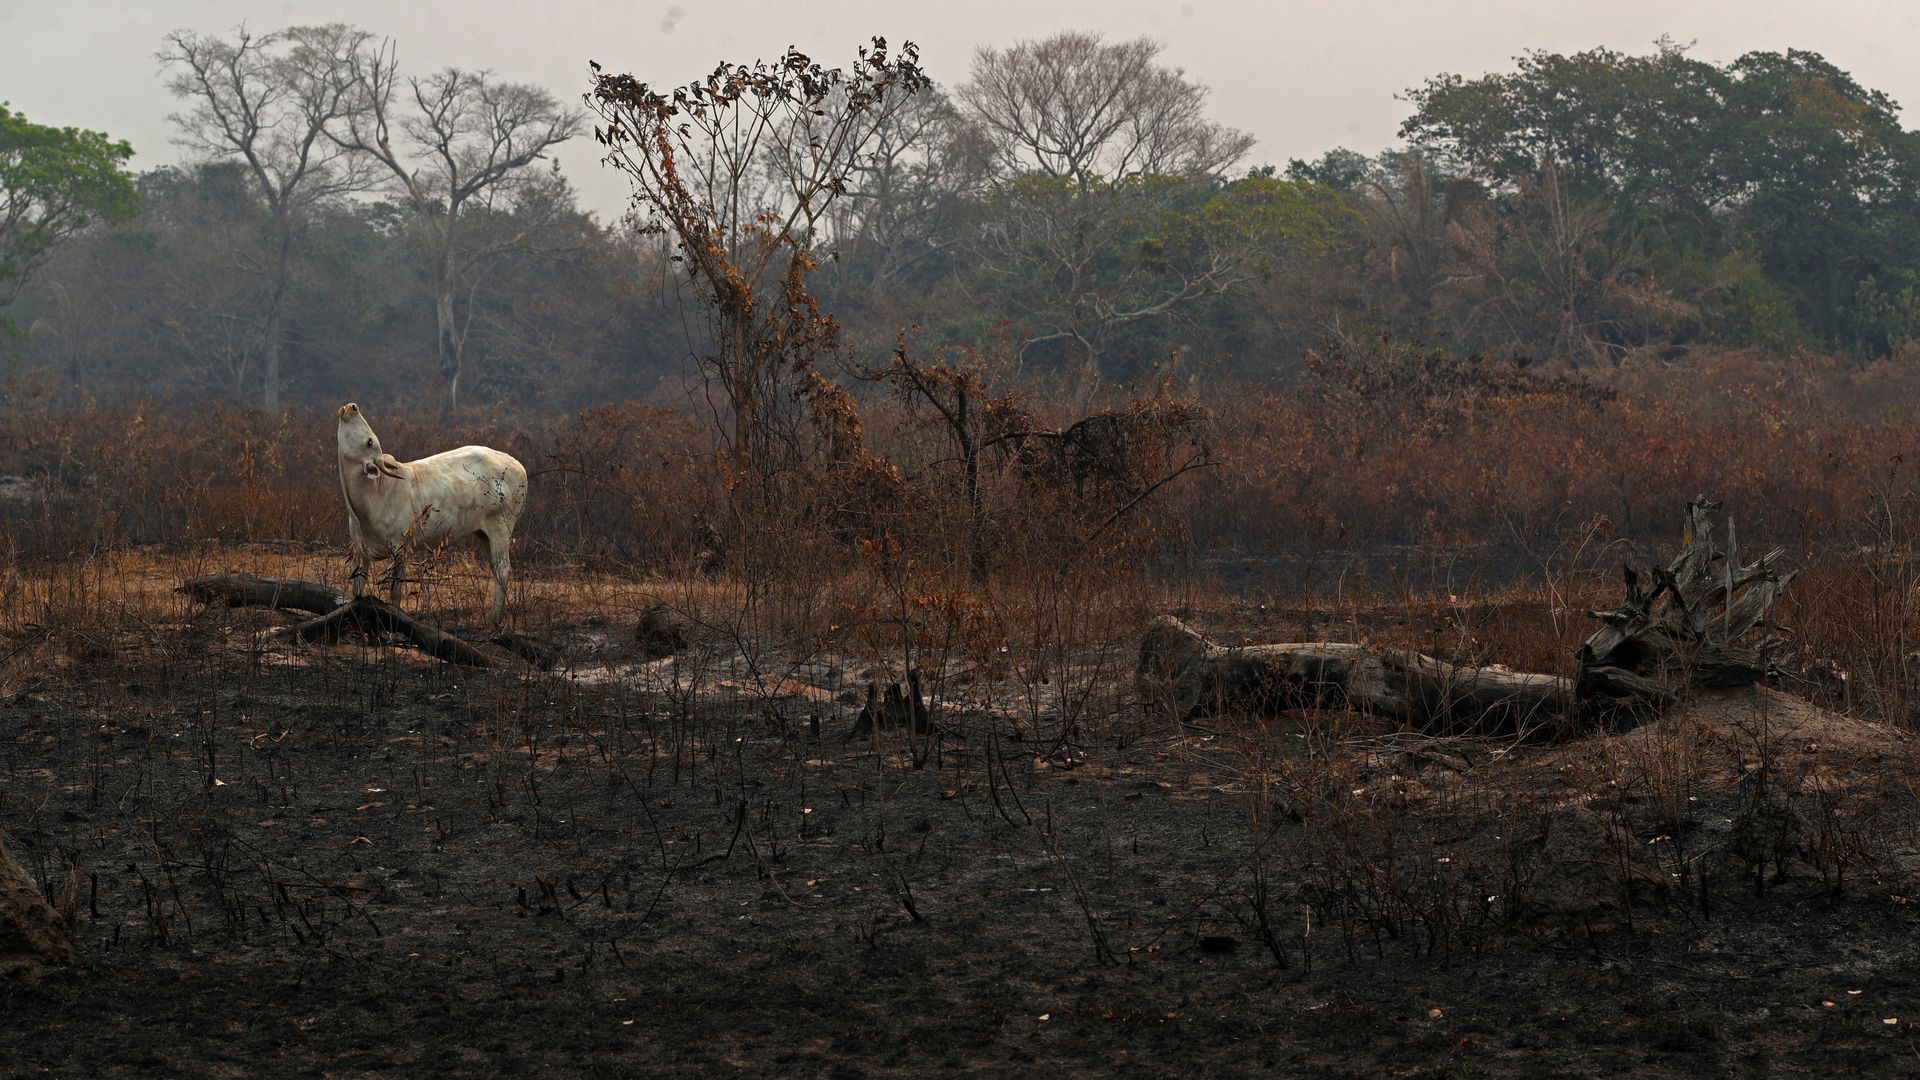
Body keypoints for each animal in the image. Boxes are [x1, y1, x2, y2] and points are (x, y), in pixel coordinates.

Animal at [332, 399, 526, 626]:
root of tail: (517, 465)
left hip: (501, 527)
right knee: (495, 569)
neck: (377, 492)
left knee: (503, 570)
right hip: (483, 534)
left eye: (370, 441)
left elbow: (396, 592)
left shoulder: (401, 549)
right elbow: (357, 589)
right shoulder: (359, 551)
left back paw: (492, 621)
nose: (352, 406)